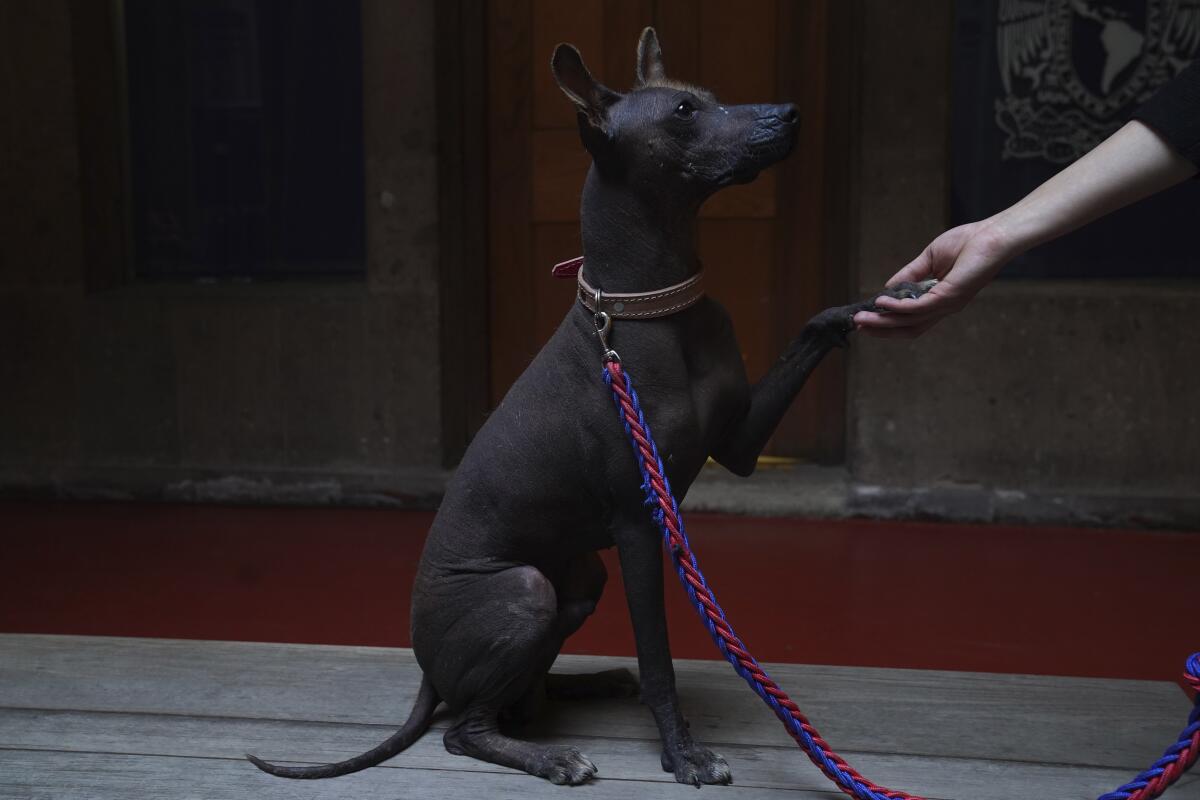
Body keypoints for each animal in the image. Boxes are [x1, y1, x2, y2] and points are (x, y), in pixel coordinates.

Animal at [250, 26, 926, 786]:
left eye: (711, 95)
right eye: (684, 112)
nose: (790, 114)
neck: (654, 308)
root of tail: (427, 668)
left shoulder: (741, 445)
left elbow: (814, 329)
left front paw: (884, 299)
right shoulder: (640, 525)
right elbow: (659, 657)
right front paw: (682, 754)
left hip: (581, 579)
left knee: (523, 697)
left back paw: (591, 682)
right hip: (527, 591)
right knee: (467, 729)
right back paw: (552, 757)